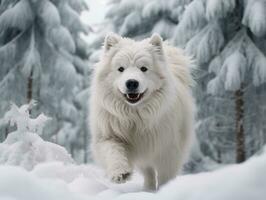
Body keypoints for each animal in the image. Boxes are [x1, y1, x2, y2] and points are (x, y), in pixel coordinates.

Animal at [89, 32, 195, 191]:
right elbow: (113, 151)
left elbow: (165, 175)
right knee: (148, 172)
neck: (135, 115)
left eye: (143, 68)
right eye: (121, 69)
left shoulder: (168, 150)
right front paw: (120, 173)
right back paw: (148, 189)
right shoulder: (108, 135)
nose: (132, 82)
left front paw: (165, 190)